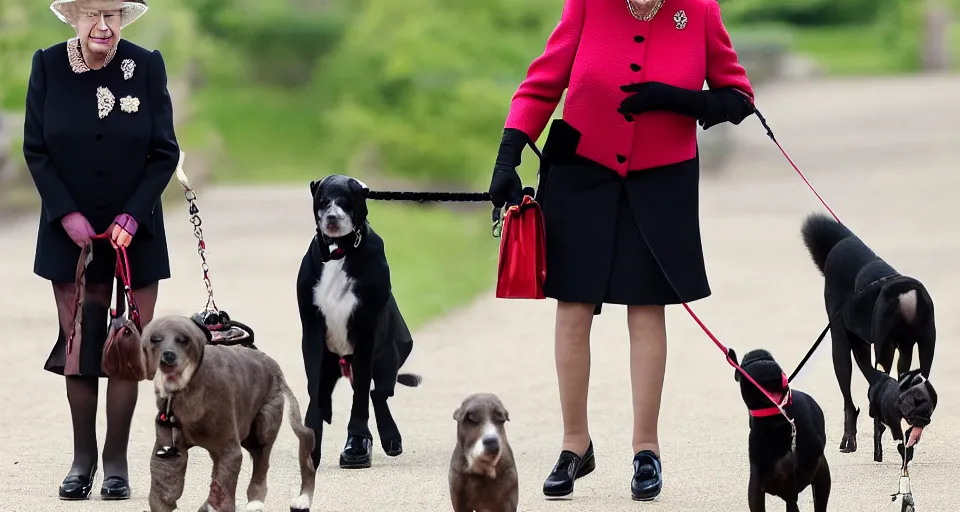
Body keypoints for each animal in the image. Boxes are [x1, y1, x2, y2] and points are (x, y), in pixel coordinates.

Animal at [142, 316, 316, 512]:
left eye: (184, 340)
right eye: (155, 340)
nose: (168, 357)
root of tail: (274, 365)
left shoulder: (230, 449)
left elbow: (223, 486)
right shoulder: (169, 452)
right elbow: (163, 489)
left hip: (264, 428)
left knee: (278, 460)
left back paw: (290, 500)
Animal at [298, 174, 422, 470]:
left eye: (346, 202)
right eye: (323, 201)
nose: (332, 217)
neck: (339, 251)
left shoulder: (366, 331)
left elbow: (362, 397)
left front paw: (356, 445)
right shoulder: (312, 333)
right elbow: (314, 394)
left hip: (388, 356)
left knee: (378, 394)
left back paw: (391, 438)